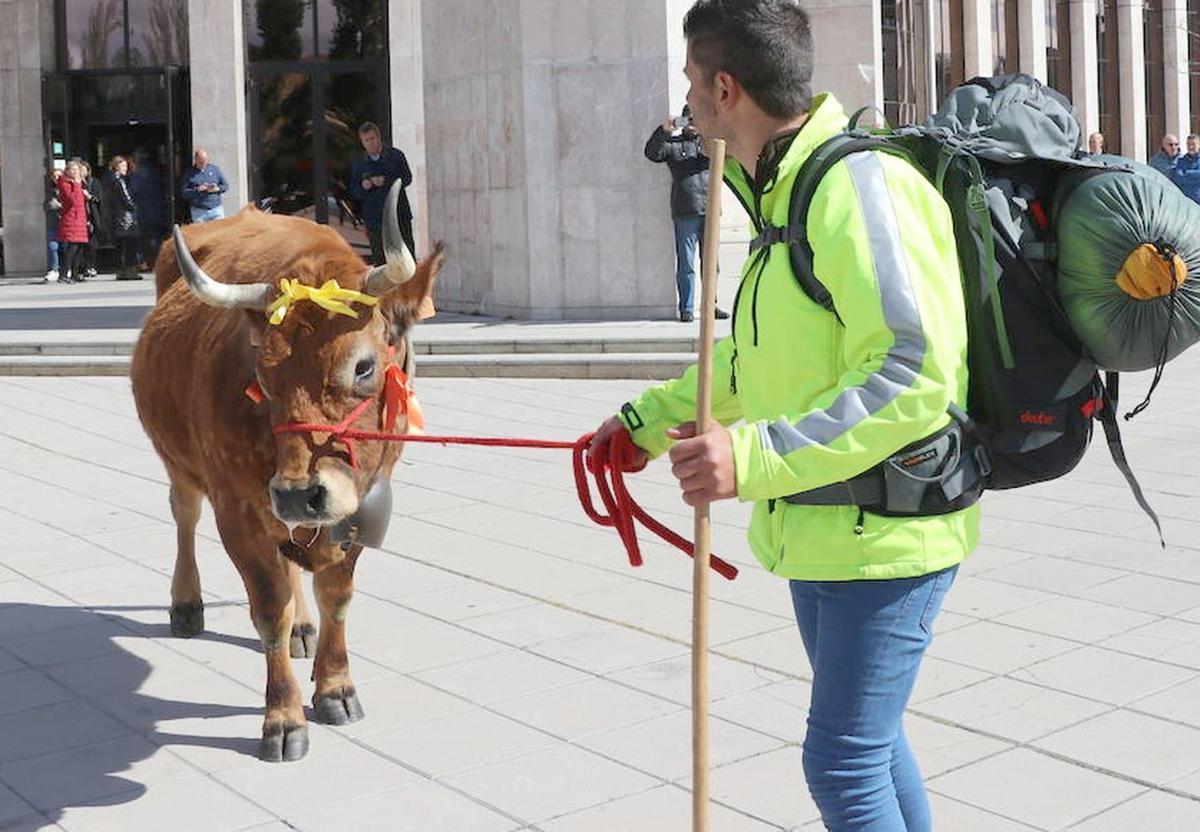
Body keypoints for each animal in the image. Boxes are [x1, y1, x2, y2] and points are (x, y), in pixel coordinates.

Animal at [132, 186, 441, 758]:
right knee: (184, 514)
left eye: (363, 365)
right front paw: (284, 718)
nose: (301, 494)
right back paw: (186, 605)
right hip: (179, 462)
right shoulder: (238, 512)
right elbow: (268, 608)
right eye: (262, 373)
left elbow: (335, 595)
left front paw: (336, 689)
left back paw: (303, 626)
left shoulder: (361, 501)